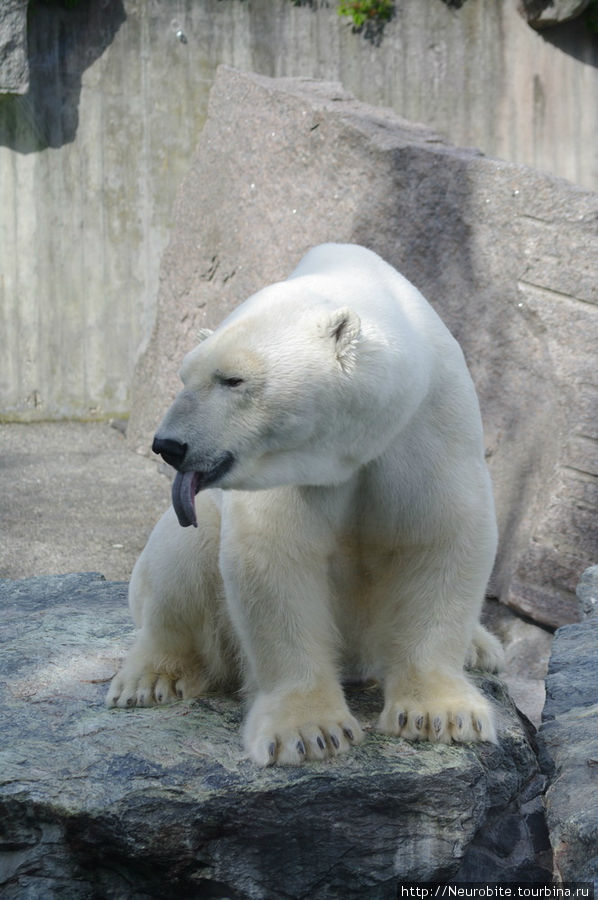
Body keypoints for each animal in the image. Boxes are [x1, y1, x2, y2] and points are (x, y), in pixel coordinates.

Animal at [106, 244, 502, 768]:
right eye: (184, 377)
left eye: (233, 379)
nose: (168, 445)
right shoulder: (286, 470)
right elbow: (277, 559)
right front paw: (312, 732)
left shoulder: (428, 426)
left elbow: (441, 537)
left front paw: (440, 716)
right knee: (181, 557)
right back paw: (149, 679)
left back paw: (481, 647)